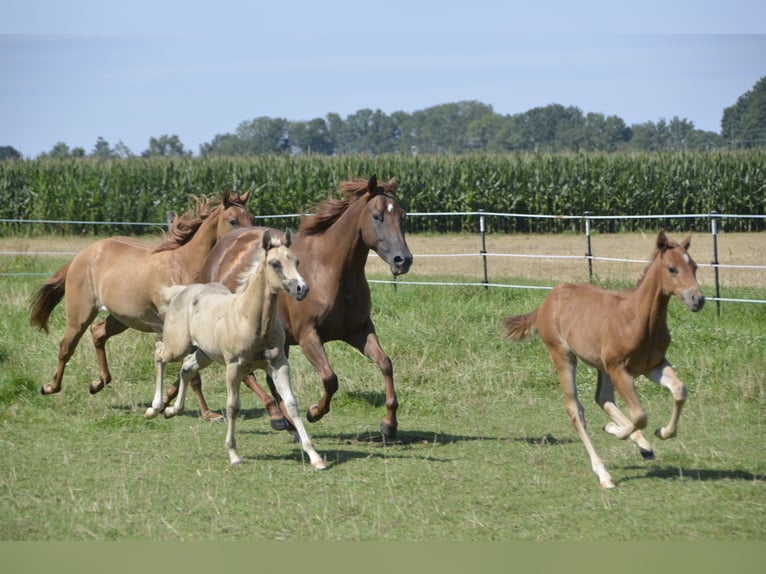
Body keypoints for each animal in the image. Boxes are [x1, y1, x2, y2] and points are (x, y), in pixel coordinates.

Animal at [28, 191, 255, 398]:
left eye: (252, 218)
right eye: (233, 220)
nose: (249, 239)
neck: (182, 265)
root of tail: (82, 255)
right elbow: (190, 370)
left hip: (122, 318)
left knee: (98, 333)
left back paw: (97, 383)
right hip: (80, 314)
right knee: (66, 346)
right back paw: (50, 387)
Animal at [147, 232, 328, 470]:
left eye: (296, 261)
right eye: (275, 263)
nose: (302, 288)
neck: (250, 319)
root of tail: (183, 290)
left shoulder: (278, 364)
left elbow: (291, 403)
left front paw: (315, 456)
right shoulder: (234, 366)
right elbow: (233, 406)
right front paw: (233, 454)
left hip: (204, 354)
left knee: (186, 368)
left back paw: (171, 410)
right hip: (177, 345)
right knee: (159, 353)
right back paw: (154, 408)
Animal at [169, 173, 414, 438]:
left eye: (402, 215)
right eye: (377, 216)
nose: (403, 260)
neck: (329, 270)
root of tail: (218, 251)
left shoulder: (359, 331)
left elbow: (385, 364)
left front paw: (389, 424)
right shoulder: (308, 335)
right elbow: (330, 378)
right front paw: (314, 412)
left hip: (277, 340)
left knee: (268, 379)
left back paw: (287, 421)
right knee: (247, 374)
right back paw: (279, 417)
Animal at [504, 232, 708, 488]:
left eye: (695, 266)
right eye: (672, 269)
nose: (697, 299)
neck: (639, 319)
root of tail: (546, 301)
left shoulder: (653, 365)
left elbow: (679, 390)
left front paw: (661, 433)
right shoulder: (619, 367)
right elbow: (640, 415)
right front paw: (617, 431)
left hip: (602, 366)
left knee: (603, 398)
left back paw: (642, 444)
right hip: (564, 355)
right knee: (576, 411)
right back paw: (604, 472)